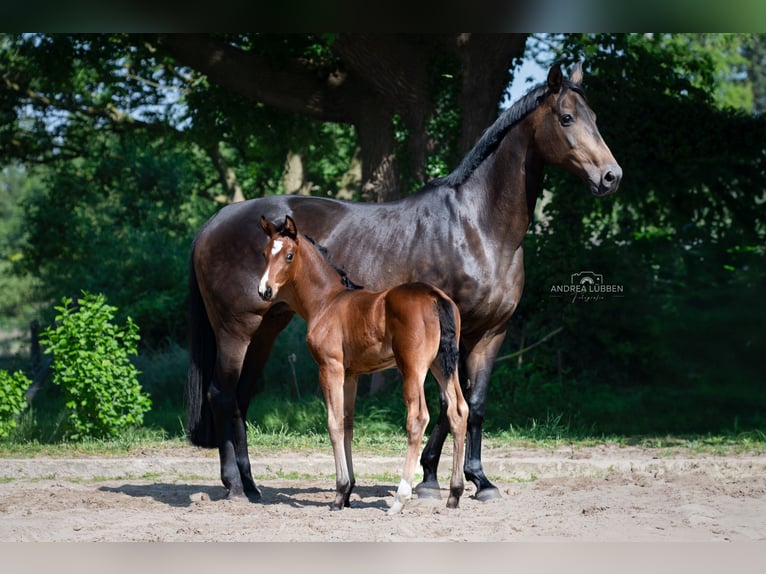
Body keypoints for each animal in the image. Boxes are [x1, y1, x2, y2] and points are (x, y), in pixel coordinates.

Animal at [257, 214, 469, 513]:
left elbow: (333, 423)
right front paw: (347, 492)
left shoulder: (330, 368)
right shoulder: (351, 374)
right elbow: (348, 424)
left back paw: (399, 498)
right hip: (444, 365)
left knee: (418, 418)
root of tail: (434, 296)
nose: (264, 290)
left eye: (288, 255)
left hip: (413, 368)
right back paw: (455, 494)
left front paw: (339, 493)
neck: (326, 302)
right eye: (265, 254)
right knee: (458, 411)